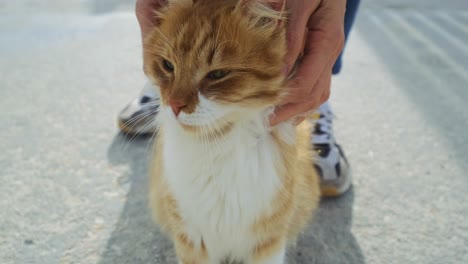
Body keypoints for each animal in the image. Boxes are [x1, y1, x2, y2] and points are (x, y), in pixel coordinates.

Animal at [144, 0, 320, 264]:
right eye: (167, 66)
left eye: (217, 74)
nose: (174, 105)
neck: (216, 146)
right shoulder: (191, 239)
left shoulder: (267, 242)